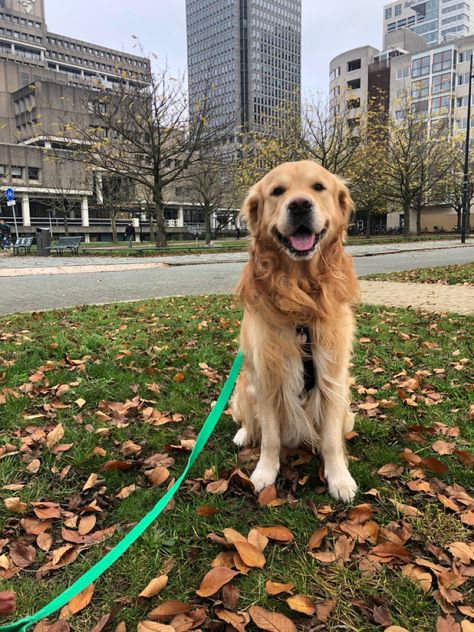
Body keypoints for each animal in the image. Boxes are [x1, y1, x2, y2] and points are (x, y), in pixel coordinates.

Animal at [231, 162, 360, 504]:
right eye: (278, 191)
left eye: (318, 187)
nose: (300, 204)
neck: (300, 294)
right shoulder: (267, 377)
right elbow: (270, 438)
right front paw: (265, 472)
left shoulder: (332, 377)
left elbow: (331, 440)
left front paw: (339, 477)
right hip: (244, 384)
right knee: (249, 421)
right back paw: (243, 434)